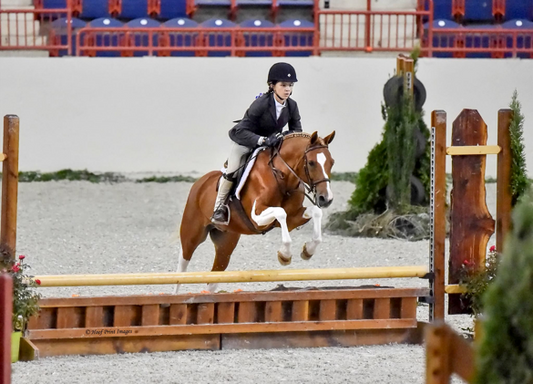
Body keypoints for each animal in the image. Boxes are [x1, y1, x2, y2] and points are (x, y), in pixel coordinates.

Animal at [175, 130, 334, 292]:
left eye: (331, 162)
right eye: (311, 163)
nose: (326, 199)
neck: (282, 178)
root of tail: (200, 182)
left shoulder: (292, 218)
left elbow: (315, 212)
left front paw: (308, 250)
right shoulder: (257, 216)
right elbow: (280, 212)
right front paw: (285, 255)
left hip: (225, 242)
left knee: (213, 278)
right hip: (192, 235)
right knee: (182, 267)